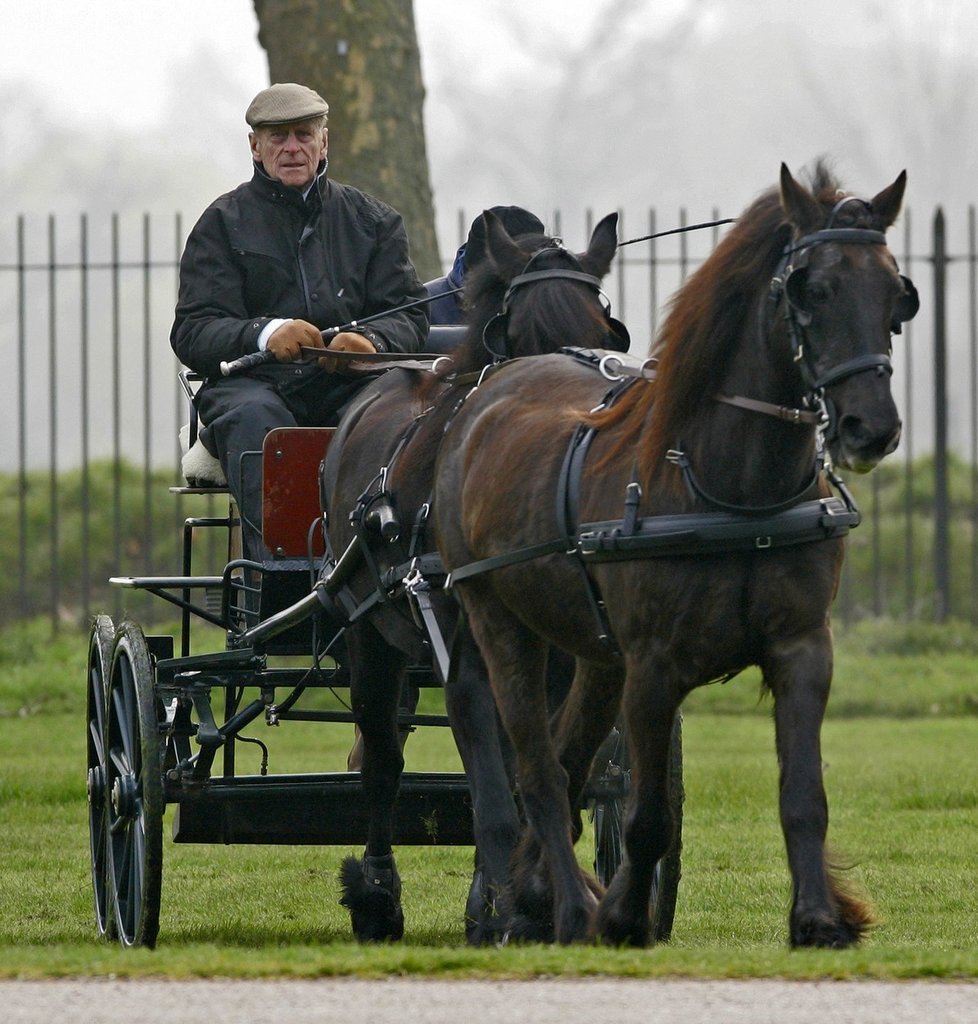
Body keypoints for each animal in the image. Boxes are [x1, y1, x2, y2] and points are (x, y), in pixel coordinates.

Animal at [323, 209, 626, 942]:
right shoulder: (464, 662)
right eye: (521, 341)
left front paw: (532, 897)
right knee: (381, 762)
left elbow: (550, 771)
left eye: (601, 334)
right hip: (368, 637)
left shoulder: (564, 661)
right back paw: (375, 893)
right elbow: (491, 794)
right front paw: (502, 908)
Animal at [432, 163, 921, 946]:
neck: (731, 490)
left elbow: (803, 795)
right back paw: (566, 907)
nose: (869, 427)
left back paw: (535, 893)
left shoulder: (802, 647)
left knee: (568, 761)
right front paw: (625, 915)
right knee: (537, 771)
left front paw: (817, 917)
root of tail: (485, 392)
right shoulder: (655, 665)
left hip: (594, 651)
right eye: (809, 290)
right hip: (497, 621)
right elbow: (647, 815)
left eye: (894, 294)